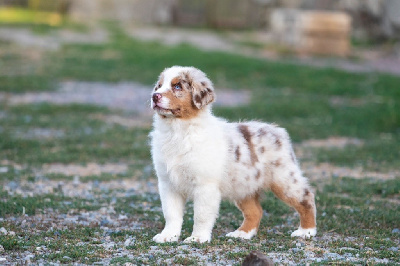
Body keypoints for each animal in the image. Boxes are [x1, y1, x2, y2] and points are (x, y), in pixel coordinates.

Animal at [149, 66, 316, 243]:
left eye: (177, 86)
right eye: (158, 86)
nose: (154, 96)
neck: (177, 131)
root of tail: (278, 130)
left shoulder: (205, 185)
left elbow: (201, 215)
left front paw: (198, 238)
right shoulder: (167, 183)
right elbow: (171, 213)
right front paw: (168, 236)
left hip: (284, 179)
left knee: (306, 198)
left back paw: (306, 231)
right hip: (244, 185)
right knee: (255, 211)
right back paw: (242, 233)